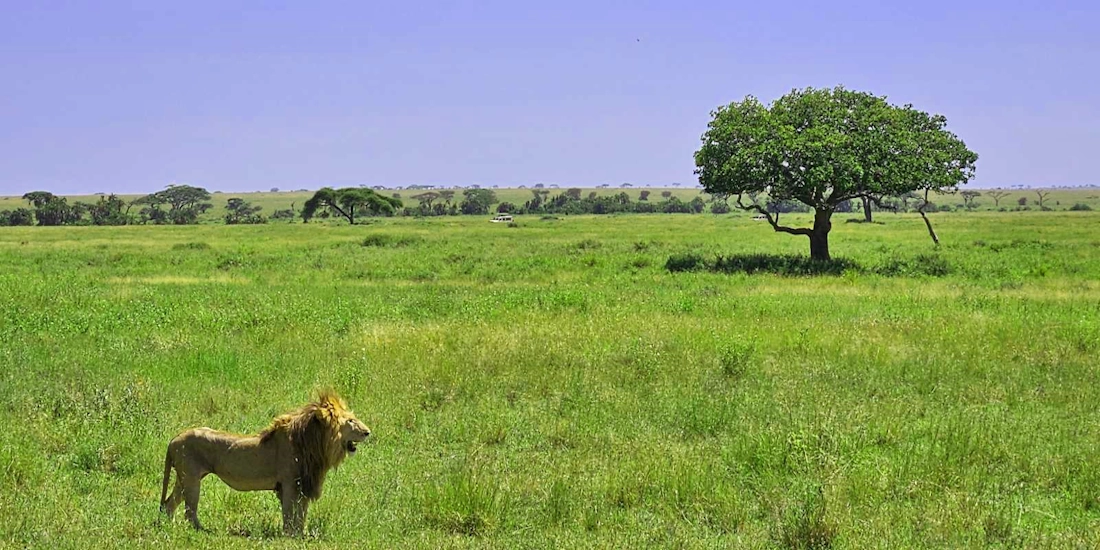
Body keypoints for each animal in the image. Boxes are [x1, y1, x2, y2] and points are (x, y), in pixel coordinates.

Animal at [159, 390, 371, 535]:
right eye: (351, 421)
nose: (368, 432)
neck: (315, 444)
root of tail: (173, 439)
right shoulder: (290, 483)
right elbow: (290, 512)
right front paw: (289, 536)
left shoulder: (303, 484)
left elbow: (301, 513)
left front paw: (300, 534)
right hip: (192, 479)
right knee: (189, 511)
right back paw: (203, 531)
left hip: (184, 479)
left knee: (169, 504)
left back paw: (168, 527)